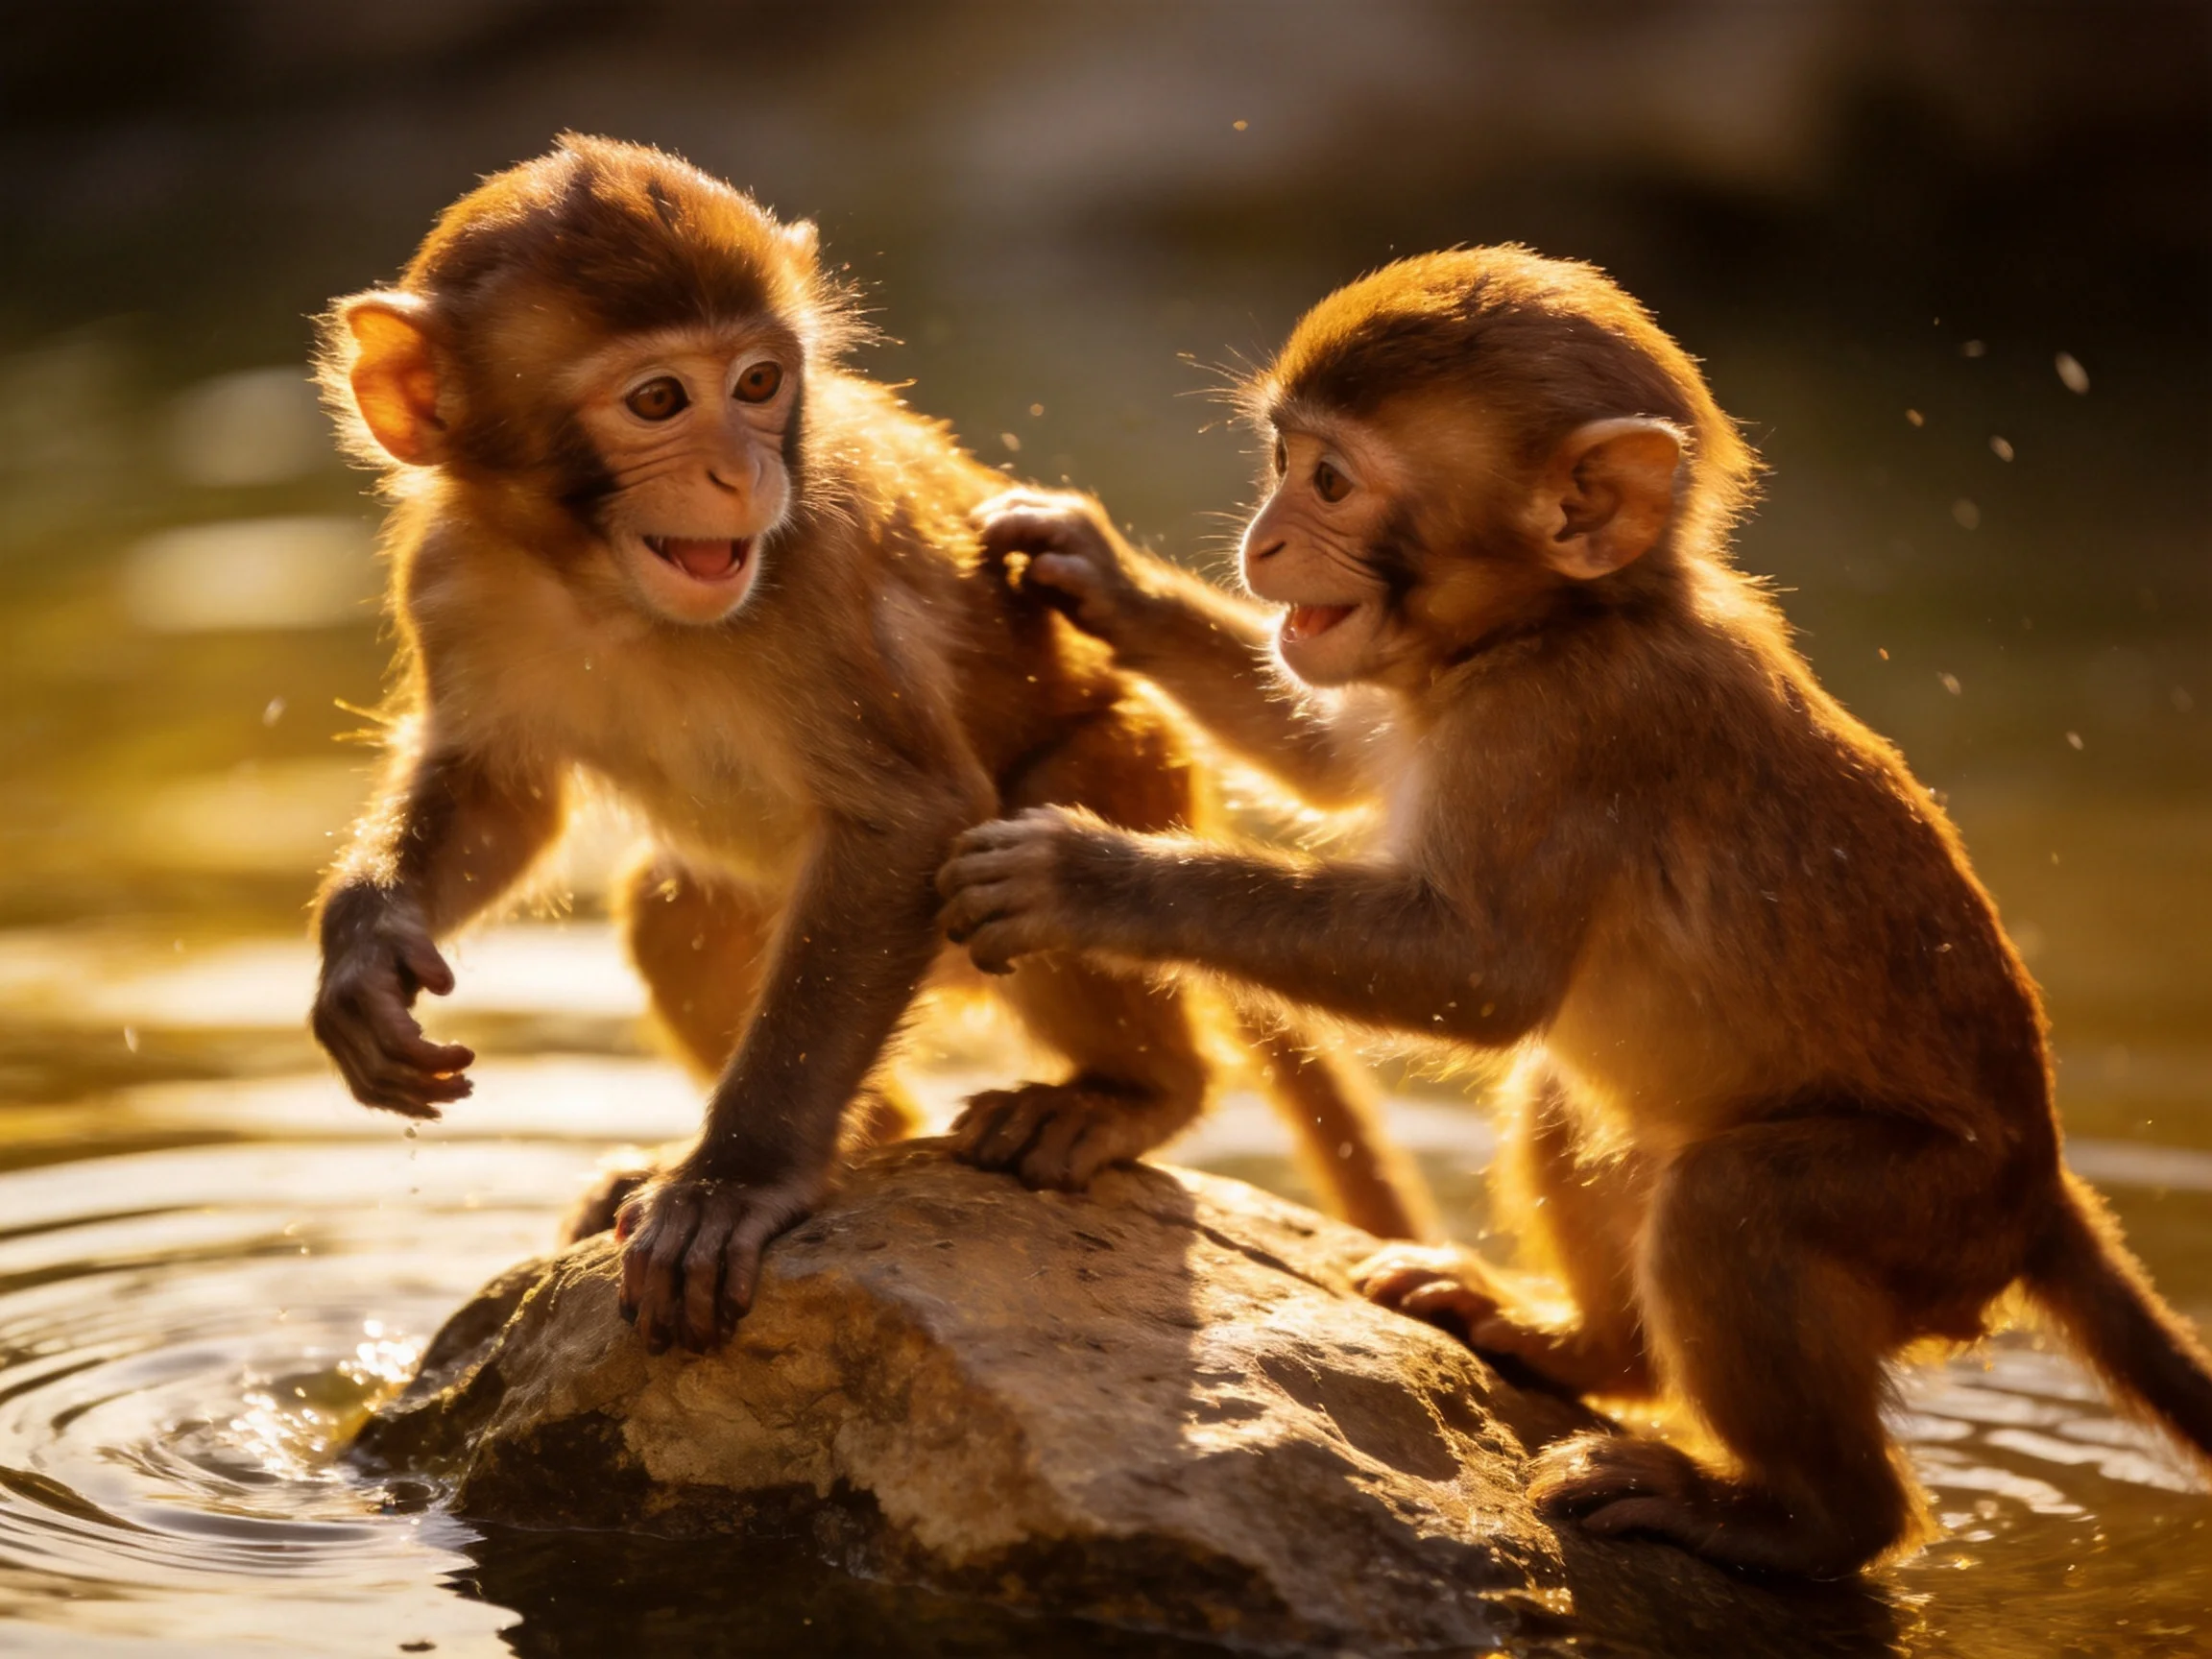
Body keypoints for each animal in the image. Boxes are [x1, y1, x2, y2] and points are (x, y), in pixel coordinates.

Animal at [307, 135, 1434, 1357]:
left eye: (759, 384)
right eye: (659, 400)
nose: (744, 474)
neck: (599, 586)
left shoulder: (815, 573)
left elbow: (909, 820)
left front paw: (735, 1184)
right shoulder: (453, 573)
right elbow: (499, 794)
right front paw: (366, 953)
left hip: (1126, 786)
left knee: (1045, 815)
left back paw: (1127, 1095)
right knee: (675, 911)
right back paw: (850, 1137)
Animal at [936, 246, 2212, 1577]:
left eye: (1330, 481)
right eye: (1281, 459)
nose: (1266, 539)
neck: (1559, 622)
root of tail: (2040, 1189)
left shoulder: (1568, 731)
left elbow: (1476, 975)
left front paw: (1083, 879)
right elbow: (1329, 757)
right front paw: (1092, 570)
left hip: (1927, 1214)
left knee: (1733, 1203)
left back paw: (1792, 1517)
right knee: (1574, 1097)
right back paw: (1582, 1347)